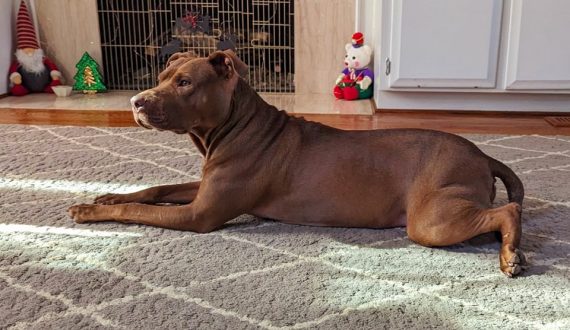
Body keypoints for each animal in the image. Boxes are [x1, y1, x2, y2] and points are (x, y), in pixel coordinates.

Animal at [69, 49, 524, 276]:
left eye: (184, 83)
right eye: (162, 78)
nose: (136, 101)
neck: (235, 124)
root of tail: (483, 154)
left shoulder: (199, 214)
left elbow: (139, 210)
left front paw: (90, 211)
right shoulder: (204, 189)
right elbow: (154, 189)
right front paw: (107, 197)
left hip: (431, 220)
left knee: (509, 211)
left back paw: (511, 255)